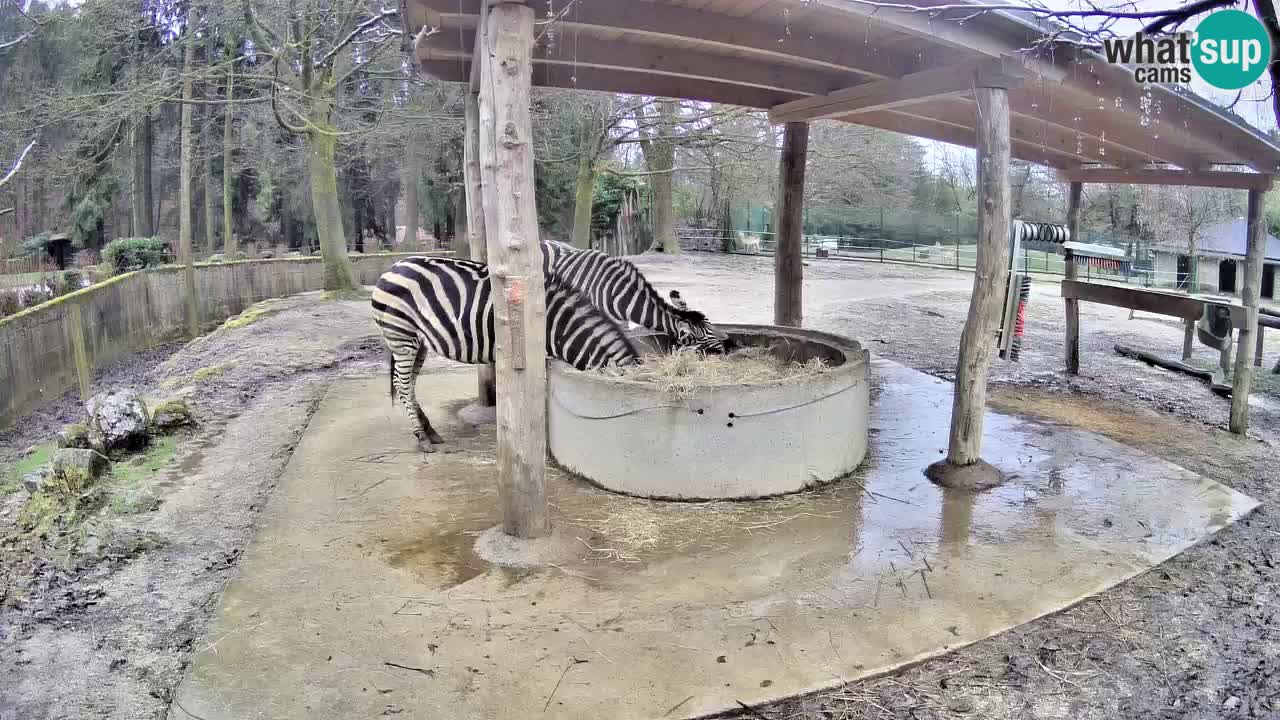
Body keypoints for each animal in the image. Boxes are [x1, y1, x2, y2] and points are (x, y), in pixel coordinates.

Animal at [373, 254, 645, 450]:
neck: (558, 325)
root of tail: (390, 268)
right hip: (401, 335)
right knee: (402, 385)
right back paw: (422, 437)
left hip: (418, 341)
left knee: (407, 384)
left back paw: (429, 431)